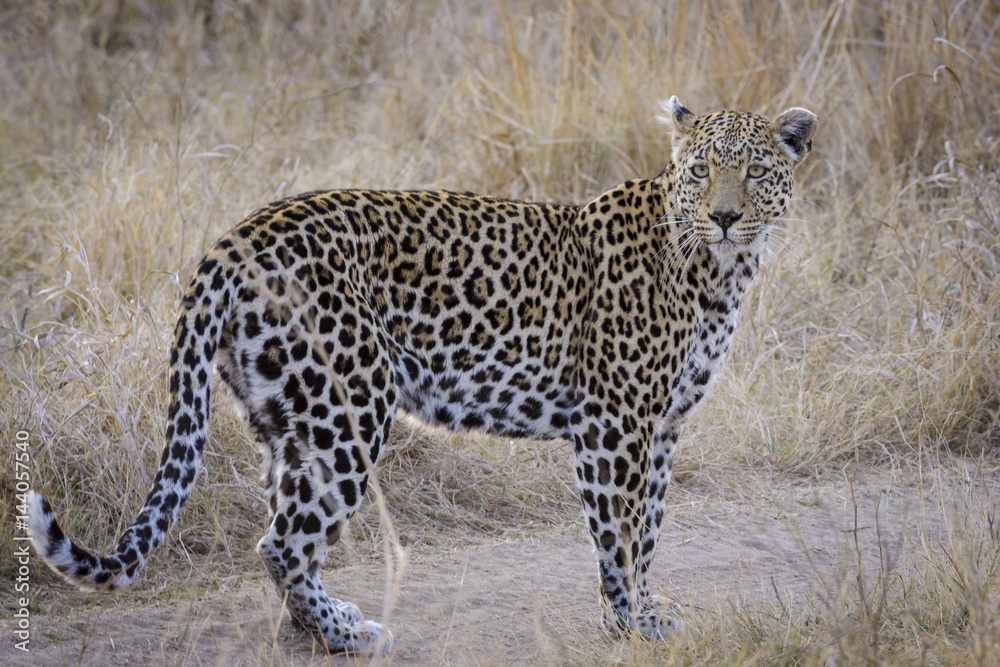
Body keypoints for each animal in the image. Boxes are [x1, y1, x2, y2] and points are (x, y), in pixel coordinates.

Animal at [29, 96, 812, 656]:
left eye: (754, 172)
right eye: (702, 170)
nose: (724, 216)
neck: (718, 272)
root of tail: (234, 237)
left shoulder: (664, 427)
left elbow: (648, 528)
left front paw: (646, 609)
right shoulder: (615, 424)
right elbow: (619, 532)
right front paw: (631, 625)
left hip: (288, 416)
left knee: (285, 528)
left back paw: (320, 627)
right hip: (349, 407)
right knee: (282, 541)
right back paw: (349, 635)